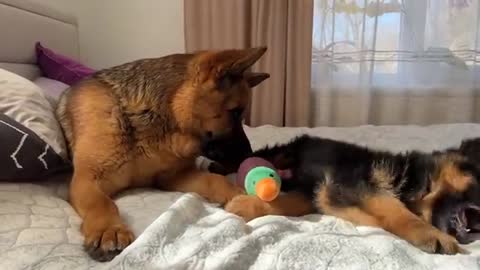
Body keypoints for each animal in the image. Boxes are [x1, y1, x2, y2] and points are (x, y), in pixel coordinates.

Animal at [56, 47, 270, 260]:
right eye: (235, 112)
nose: (249, 156)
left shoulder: (172, 177)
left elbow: (215, 180)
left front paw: (244, 198)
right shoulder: (86, 179)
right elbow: (102, 202)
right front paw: (109, 229)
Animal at [222, 136, 480, 254]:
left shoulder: (322, 190)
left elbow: (290, 202)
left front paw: (247, 205)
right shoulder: (351, 182)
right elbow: (392, 205)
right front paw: (430, 234)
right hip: (283, 153)